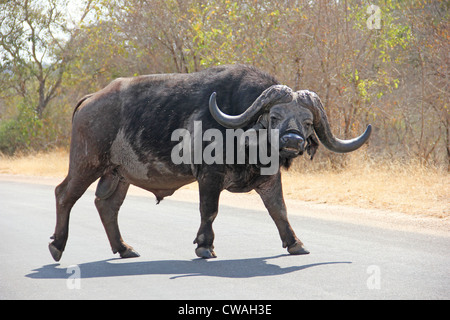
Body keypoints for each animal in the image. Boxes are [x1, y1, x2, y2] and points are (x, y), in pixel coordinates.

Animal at [50, 63, 372, 262]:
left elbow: (279, 210)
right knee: (64, 194)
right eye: (275, 116)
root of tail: (91, 98)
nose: (293, 141)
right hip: (87, 163)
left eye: (307, 122)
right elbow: (210, 210)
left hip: (119, 174)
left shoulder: (269, 179)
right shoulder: (209, 176)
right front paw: (205, 246)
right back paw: (56, 245)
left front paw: (295, 243)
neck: (244, 135)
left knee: (107, 205)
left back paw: (124, 248)